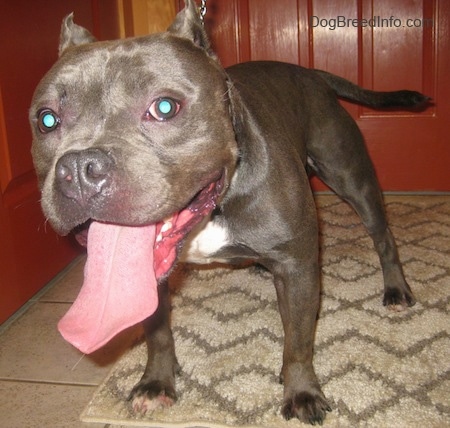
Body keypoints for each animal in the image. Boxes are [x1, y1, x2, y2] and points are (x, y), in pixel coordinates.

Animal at [29, 0, 428, 424]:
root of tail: (310, 72)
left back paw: (396, 289)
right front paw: (156, 382)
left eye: (164, 107)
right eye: (46, 119)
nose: (79, 169)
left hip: (351, 176)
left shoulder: (299, 268)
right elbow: (157, 332)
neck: (216, 204)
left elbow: (299, 342)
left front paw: (301, 391)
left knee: (382, 236)